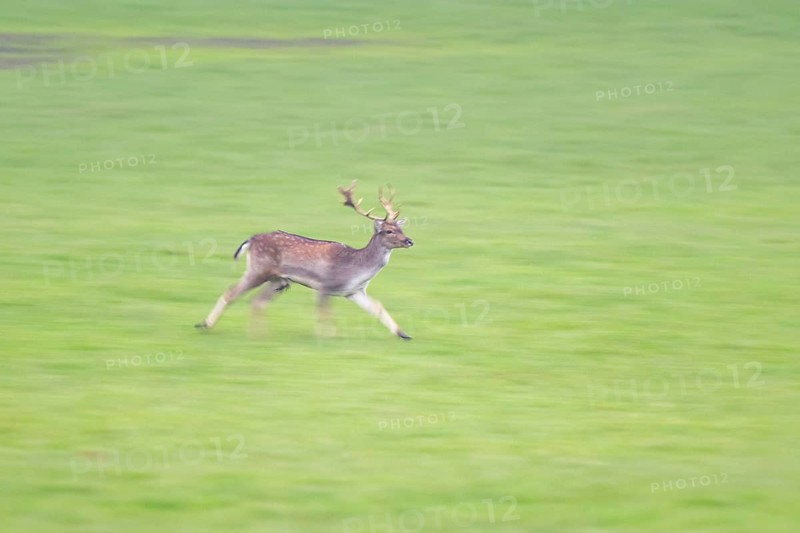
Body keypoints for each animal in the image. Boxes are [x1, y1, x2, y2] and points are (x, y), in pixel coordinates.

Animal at [195, 181, 415, 339]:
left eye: (401, 228)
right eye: (389, 230)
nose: (410, 241)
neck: (357, 269)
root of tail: (251, 240)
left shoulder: (354, 292)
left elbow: (377, 307)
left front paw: (403, 333)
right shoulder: (325, 284)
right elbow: (323, 313)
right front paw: (327, 337)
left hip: (279, 281)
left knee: (257, 302)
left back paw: (259, 335)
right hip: (258, 269)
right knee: (231, 292)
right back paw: (204, 324)